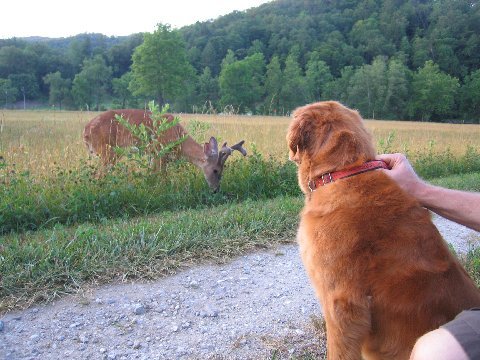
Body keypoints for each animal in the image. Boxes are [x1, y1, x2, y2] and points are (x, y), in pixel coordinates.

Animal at [82, 109, 246, 191]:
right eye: (215, 170)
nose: (216, 189)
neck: (179, 141)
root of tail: (86, 130)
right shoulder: (159, 152)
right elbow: (162, 176)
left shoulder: (153, 156)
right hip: (107, 151)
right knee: (100, 175)